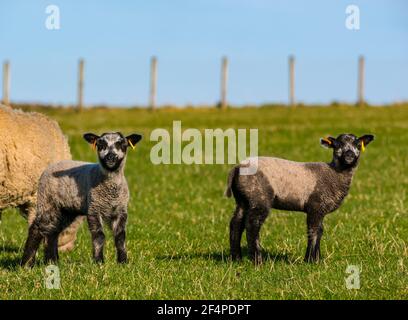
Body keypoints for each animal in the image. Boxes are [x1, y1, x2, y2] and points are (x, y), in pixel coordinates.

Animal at [21, 131, 142, 266]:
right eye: (100, 144)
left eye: (122, 144)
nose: (110, 157)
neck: (110, 188)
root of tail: (51, 166)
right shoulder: (94, 208)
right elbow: (99, 236)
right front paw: (99, 261)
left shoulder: (120, 210)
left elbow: (120, 237)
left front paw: (123, 261)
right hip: (47, 202)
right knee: (36, 229)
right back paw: (26, 263)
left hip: (66, 210)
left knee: (53, 232)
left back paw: (52, 261)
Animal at [225, 134, 374, 264]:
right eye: (337, 145)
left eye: (357, 144)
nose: (349, 155)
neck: (334, 173)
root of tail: (237, 168)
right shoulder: (316, 206)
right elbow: (313, 231)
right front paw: (309, 260)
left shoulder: (321, 209)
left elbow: (320, 231)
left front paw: (317, 259)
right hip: (259, 197)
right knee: (252, 225)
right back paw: (258, 261)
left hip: (243, 199)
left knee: (236, 223)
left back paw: (236, 258)